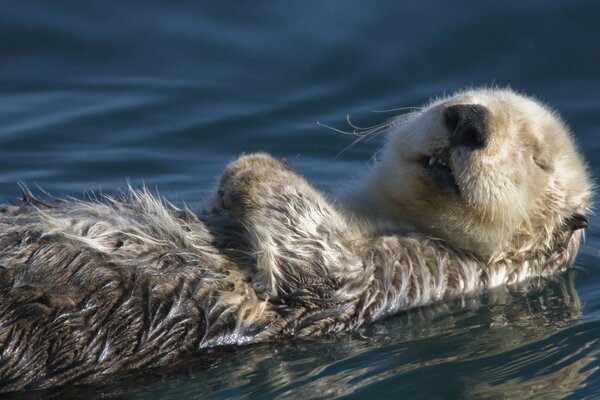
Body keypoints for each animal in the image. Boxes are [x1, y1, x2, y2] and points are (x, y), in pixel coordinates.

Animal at [0, 87, 592, 390]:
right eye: (464, 96)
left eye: (537, 157)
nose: (467, 118)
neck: (377, 214)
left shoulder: (413, 272)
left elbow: (324, 265)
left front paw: (254, 167)